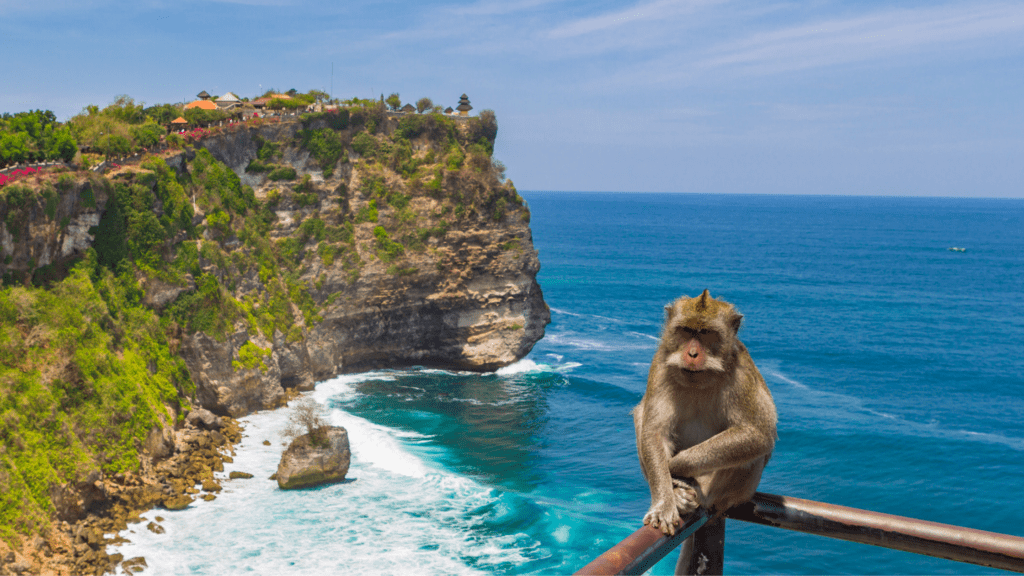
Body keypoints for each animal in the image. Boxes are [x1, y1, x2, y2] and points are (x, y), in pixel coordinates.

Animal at [630, 291, 774, 557]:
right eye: (686, 331)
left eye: (706, 333)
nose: (693, 354)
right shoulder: (660, 363)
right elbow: (654, 432)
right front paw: (664, 501)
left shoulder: (740, 372)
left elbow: (756, 434)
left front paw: (676, 466)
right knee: (641, 414)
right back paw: (678, 496)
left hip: (735, 491)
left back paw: (694, 491)